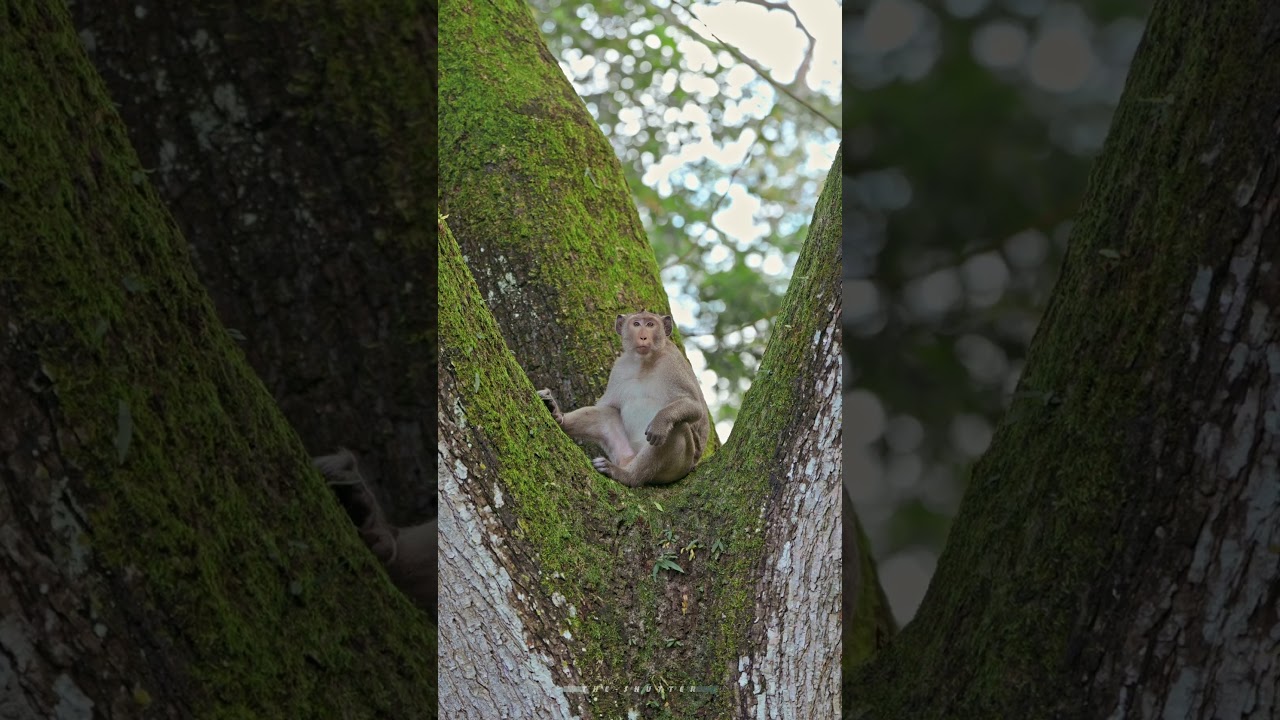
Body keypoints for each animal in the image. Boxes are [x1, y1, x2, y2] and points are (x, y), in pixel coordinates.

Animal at [538, 310, 711, 488]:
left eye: (650, 324)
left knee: (676, 427)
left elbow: (695, 407)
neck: (644, 363)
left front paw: (660, 421)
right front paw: (559, 415)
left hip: (679, 466)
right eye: (636, 324)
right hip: (626, 453)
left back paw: (627, 475)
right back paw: (558, 417)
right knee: (605, 414)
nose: (643, 337)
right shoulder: (619, 367)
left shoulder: (672, 365)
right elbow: (608, 406)